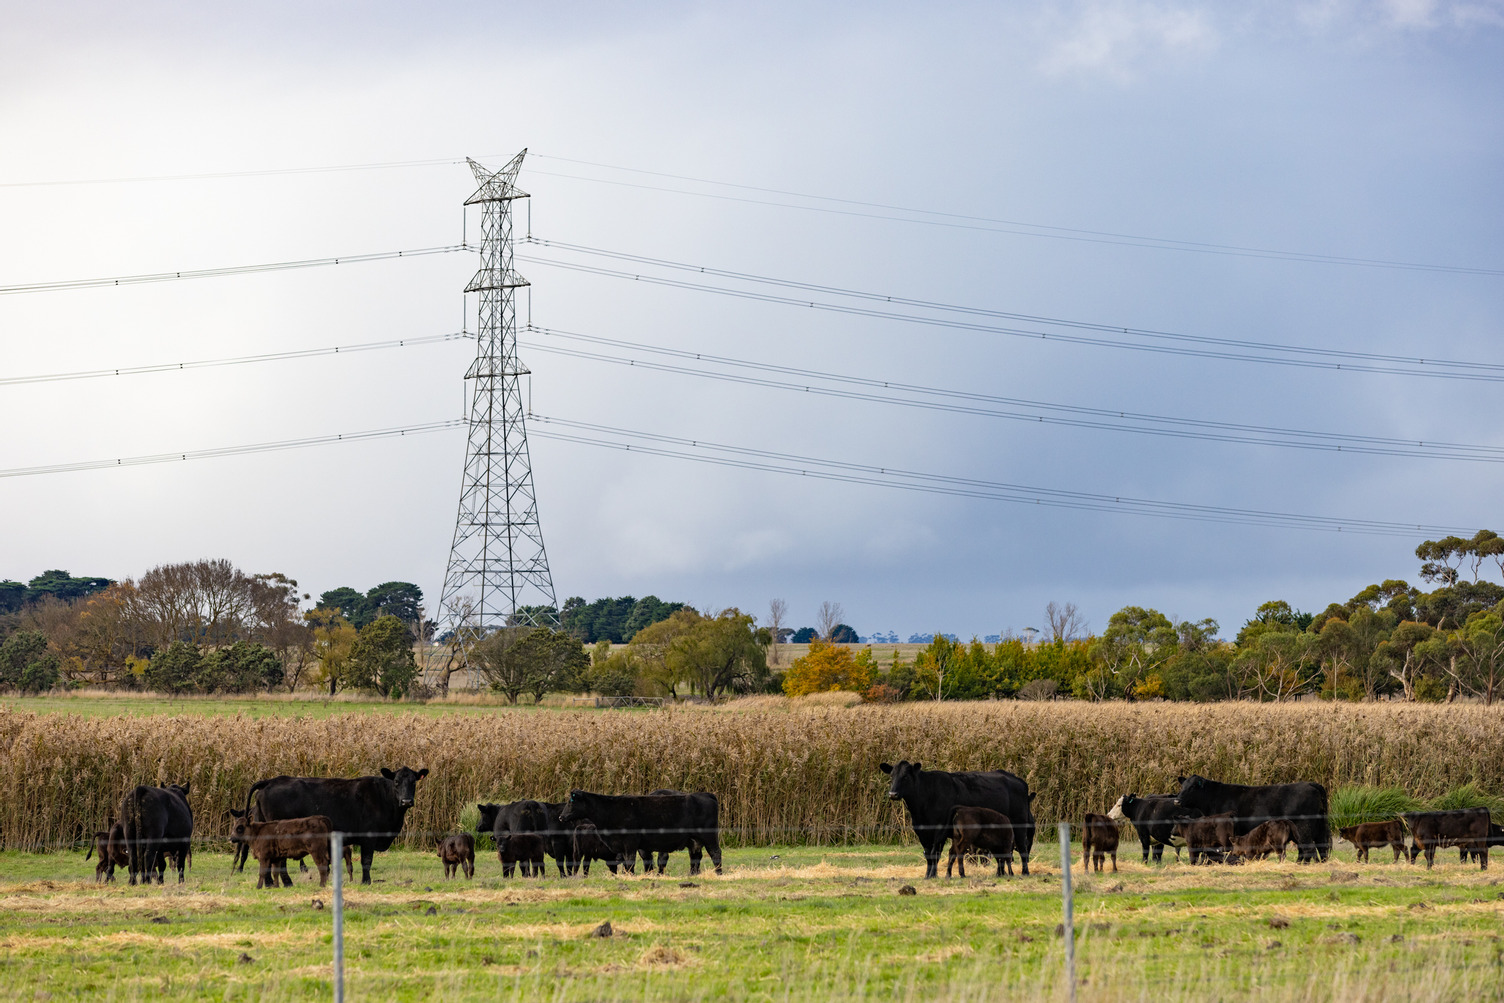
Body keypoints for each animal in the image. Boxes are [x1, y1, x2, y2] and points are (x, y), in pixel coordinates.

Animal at [236, 767, 427, 885]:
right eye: (396, 782)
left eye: (414, 782)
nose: (406, 801)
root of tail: (271, 781)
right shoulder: (368, 837)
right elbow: (366, 861)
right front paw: (366, 881)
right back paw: (287, 882)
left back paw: (269, 883)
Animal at [557, 790, 723, 876]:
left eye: (570, 802)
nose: (561, 817)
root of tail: (706, 794)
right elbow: (626, 862)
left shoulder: (630, 842)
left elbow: (630, 861)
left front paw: (631, 875)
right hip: (694, 840)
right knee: (695, 856)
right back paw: (693, 874)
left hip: (709, 836)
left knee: (715, 853)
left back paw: (718, 873)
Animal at [880, 761, 1036, 878]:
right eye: (892, 776)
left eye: (906, 777)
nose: (892, 794)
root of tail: (1018, 780)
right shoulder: (922, 832)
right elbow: (928, 855)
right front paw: (927, 875)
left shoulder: (940, 831)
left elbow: (935, 854)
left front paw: (933, 875)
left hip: (1019, 826)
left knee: (1022, 849)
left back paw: (1025, 872)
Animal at [1174, 775, 1330, 863]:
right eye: (1182, 786)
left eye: (1192, 787)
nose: (1176, 801)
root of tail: (1309, 783)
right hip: (1318, 829)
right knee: (1320, 848)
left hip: (1303, 827)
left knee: (1309, 849)